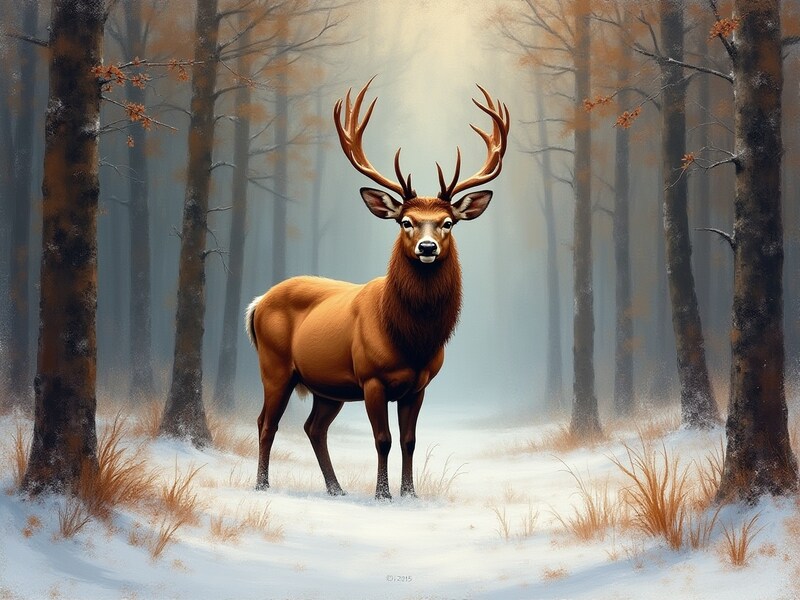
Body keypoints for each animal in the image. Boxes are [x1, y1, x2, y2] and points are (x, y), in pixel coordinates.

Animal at [246, 79, 509, 500]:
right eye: (406, 221)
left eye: (448, 222)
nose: (427, 248)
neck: (410, 338)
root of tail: (256, 303)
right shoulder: (371, 377)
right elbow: (382, 439)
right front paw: (383, 494)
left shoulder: (419, 384)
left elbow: (409, 440)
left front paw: (409, 493)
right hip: (275, 365)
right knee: (265, 423)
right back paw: (262, 485)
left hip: (327, 385)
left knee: (313, 427)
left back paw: (335, 489)